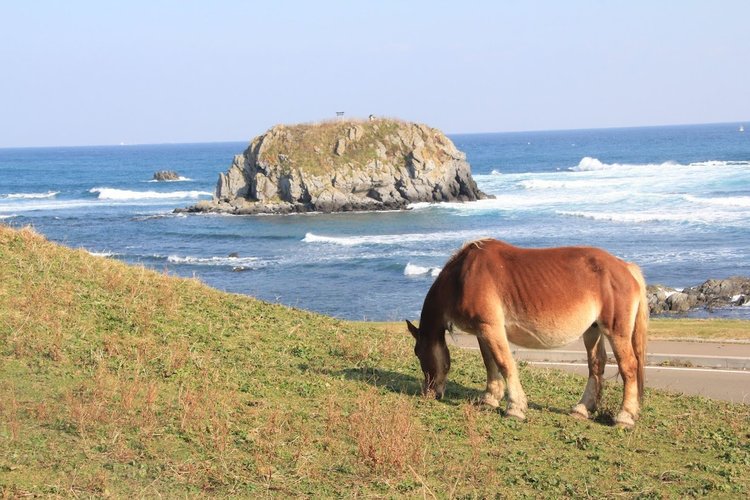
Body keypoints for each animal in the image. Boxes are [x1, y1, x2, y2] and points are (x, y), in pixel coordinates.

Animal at [408, 240, 648, 428]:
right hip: (593, 330)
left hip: (616, 332)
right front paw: (490, 399)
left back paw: (625, 416)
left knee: (628, 367)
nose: (430, 392)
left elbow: (505, 364)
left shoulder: (491, 328)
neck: (462, 276)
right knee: (596, 365)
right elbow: (490, 364)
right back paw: (582, 409)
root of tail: (626, 268)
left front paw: (514, 408)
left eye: (418, 353)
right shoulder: (483, 331)